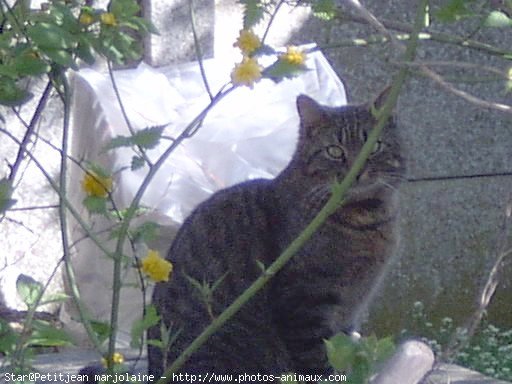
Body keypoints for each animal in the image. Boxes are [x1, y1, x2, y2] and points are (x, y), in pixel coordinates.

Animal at [147, 91, 404, 380]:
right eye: (334, 151)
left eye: (375, 146)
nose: (357, 172)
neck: (365, 219)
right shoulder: (304, 307)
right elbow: (319, 366)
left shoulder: (347, 317)